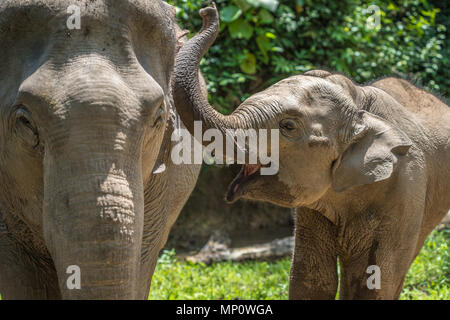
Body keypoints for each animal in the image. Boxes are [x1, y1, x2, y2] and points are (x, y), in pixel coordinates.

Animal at [172, 5, 450, 300]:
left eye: (288, 126)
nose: (207, 10)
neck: (359, 104)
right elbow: (311, 279)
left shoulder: (405, 190)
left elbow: (374, 283)